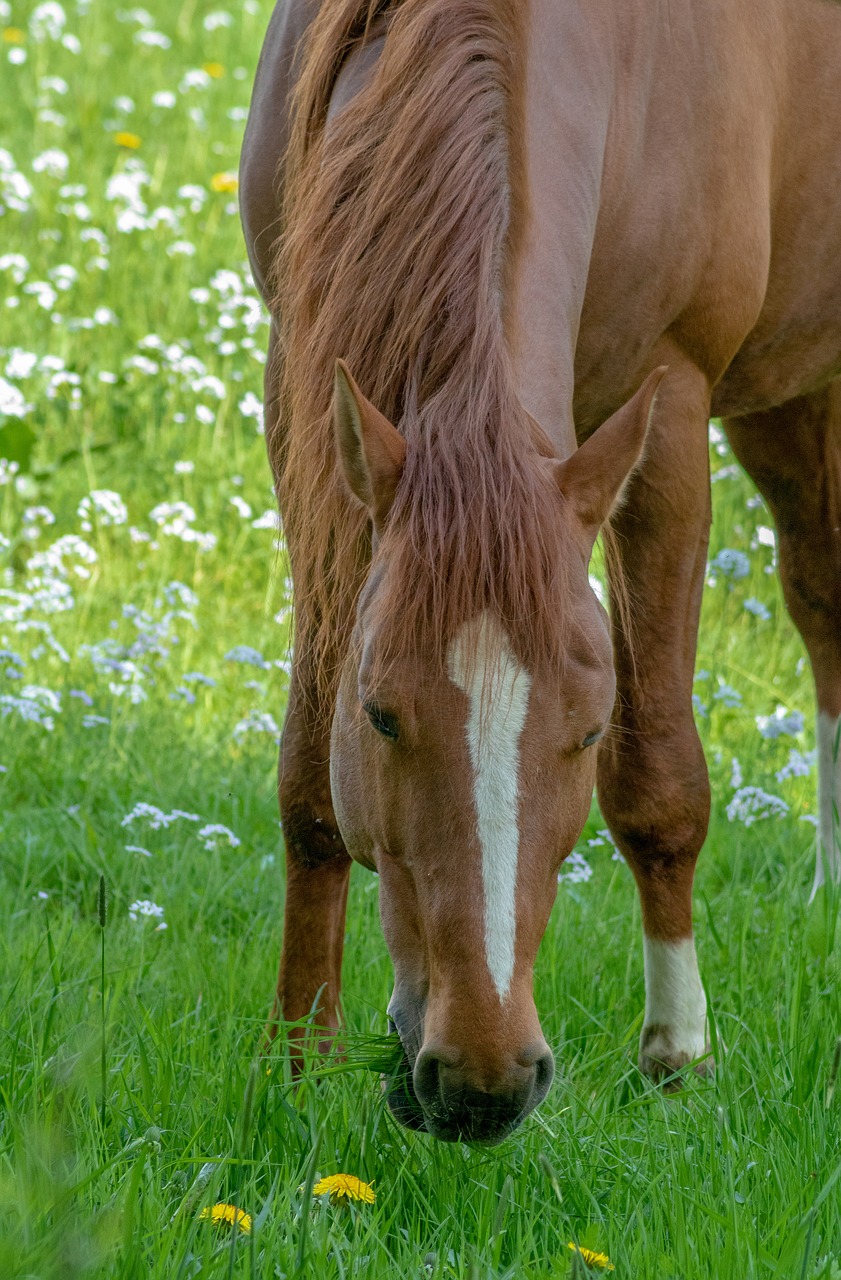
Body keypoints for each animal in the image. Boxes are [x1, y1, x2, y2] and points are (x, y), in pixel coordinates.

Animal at [239, 0, 839, 1141]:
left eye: (588, 728)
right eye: (380, 714)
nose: (484, 1079)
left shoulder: (667, 409)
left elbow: (660, 780)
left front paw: (676, 1055)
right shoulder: (302, 391)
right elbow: (306, 774)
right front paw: (299, 1061)